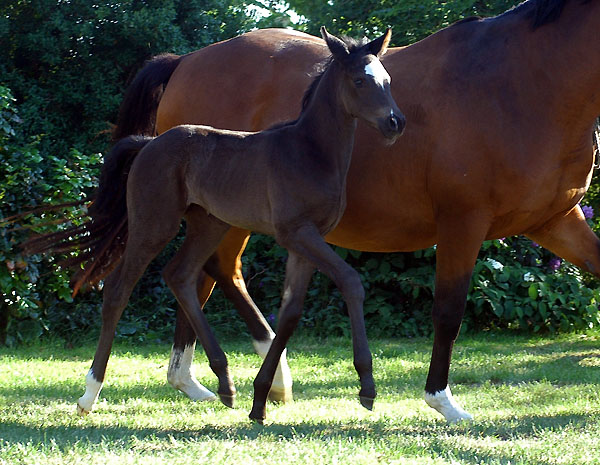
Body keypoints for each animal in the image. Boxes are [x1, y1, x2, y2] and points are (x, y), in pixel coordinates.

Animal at [95, 0, 600, 420]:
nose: (395, 122)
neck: (515, 83)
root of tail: (185, 61)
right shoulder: (462, 222)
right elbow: (448, 311)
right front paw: (441, 400)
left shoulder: (556, 222)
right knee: (209, 272)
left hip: (220, 217)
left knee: (204, 275)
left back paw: (207, 380)